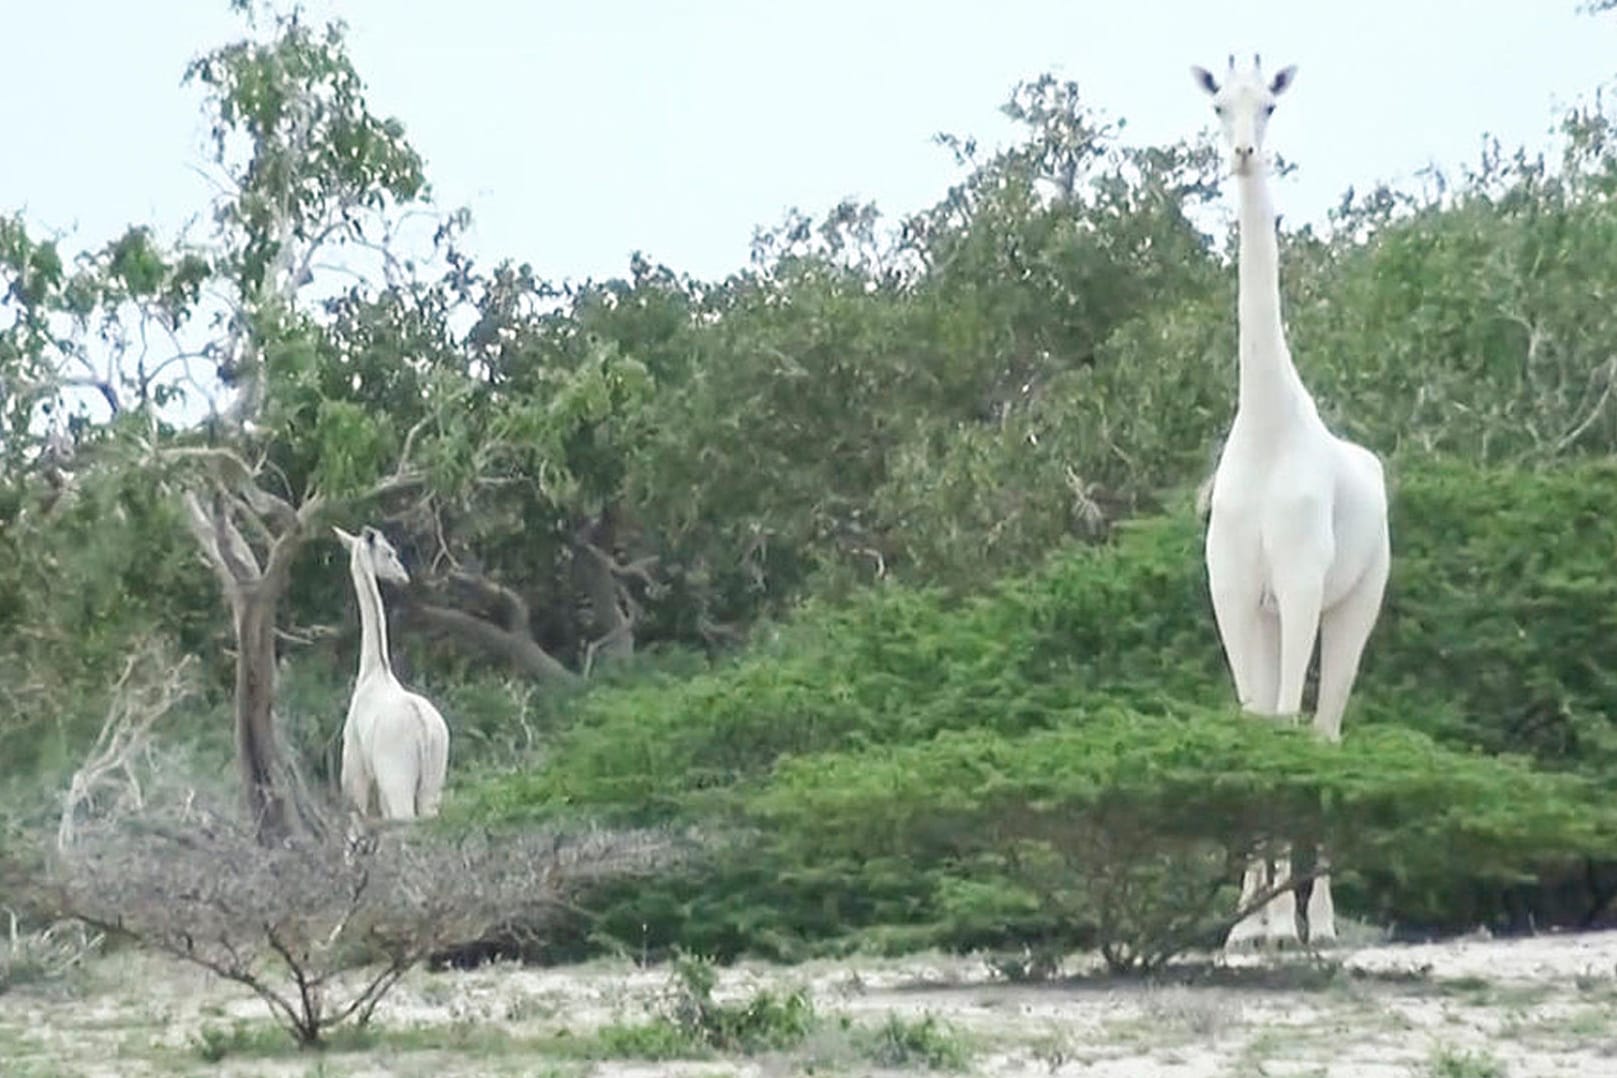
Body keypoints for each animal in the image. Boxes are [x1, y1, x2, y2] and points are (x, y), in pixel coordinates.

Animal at [333, 526, 449, 821]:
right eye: (389, 553)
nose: (403, 577)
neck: (373, 671)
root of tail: (423, 729)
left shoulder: (356, 774)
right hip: (433, 782)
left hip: (397, 778)